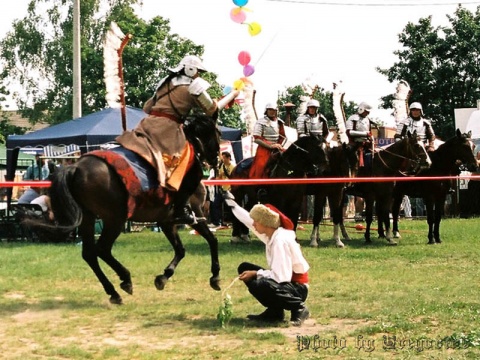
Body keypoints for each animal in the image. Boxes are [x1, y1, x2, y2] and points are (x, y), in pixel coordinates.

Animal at [24, 114, 221, 304]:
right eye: (216, 134)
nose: (216, 160)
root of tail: (75, 167)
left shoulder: (167, 221)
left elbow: (182, 249)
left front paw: (164, 277)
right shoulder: (192, 215)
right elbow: (211, 240)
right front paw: (215, 276)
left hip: (88, 218)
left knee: (89, 254)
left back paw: (113, 292)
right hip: (115, 220)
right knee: (102, 249)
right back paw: (125, 279)